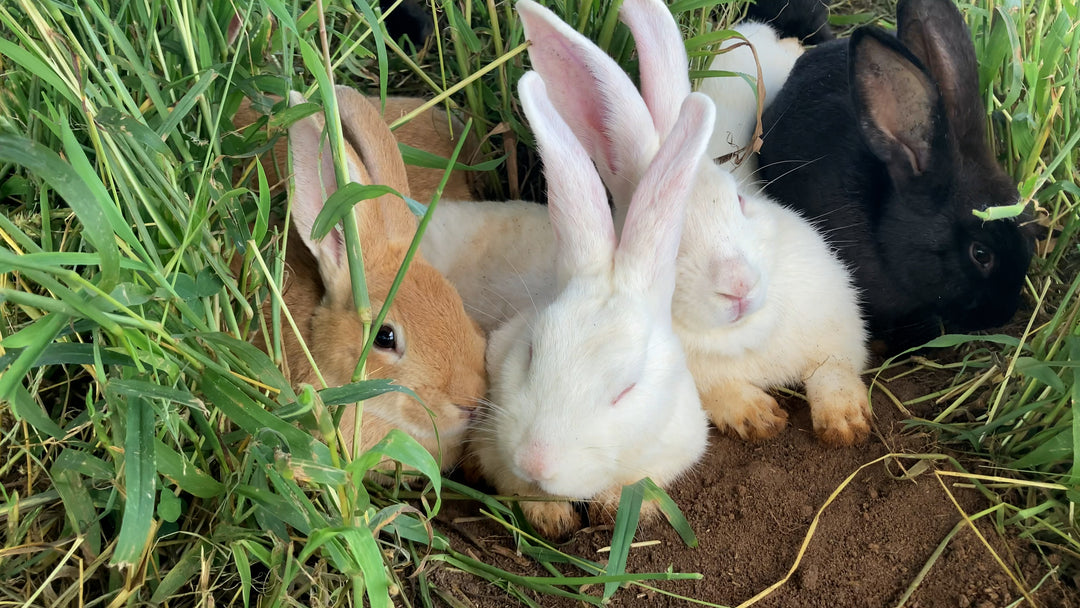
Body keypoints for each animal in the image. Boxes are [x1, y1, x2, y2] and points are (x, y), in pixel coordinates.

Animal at [469, 71, 713, 539]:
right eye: (530, 353)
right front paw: (551, 516)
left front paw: (615, 507)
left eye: (627, 389)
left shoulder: (679, 445)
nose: (536, 460)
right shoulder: (489, 439)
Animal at [519, 0, 871, 445]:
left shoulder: (836, 333)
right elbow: (725, 394)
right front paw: (761, 418)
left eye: (739, 199)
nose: (738, 286)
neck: (744, 333)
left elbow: (833, 371)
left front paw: (846, 424)